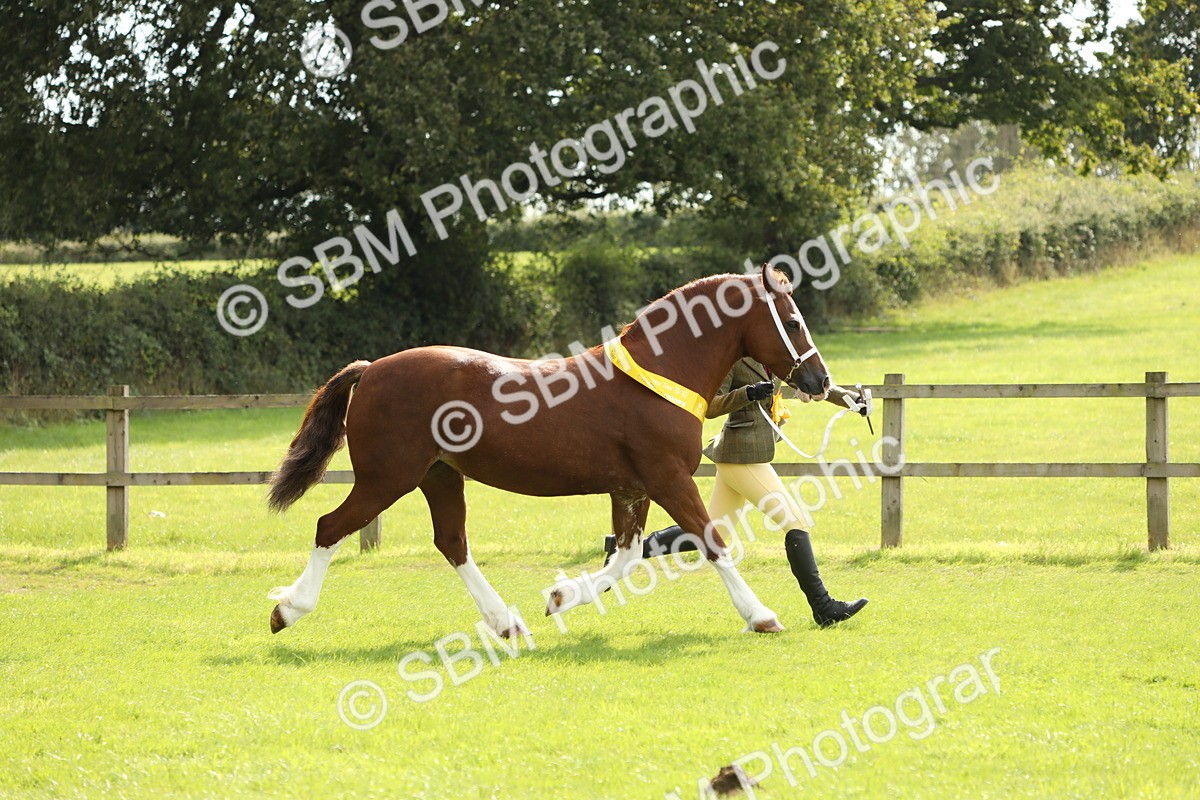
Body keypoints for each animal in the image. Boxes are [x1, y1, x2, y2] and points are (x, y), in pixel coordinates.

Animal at [265, 265, 831, 636]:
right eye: (792, 320)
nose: (820, 380)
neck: (658, 376)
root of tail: (371, 369)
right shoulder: (667, 478)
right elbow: (710, 541)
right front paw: (762, 616)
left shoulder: (631, 488)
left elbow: (626, 555)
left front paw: (559, 597)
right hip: (388, 478)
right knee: (331, 527)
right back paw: (287, 610)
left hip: (439, 475)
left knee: (452, 542)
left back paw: (506, 622)